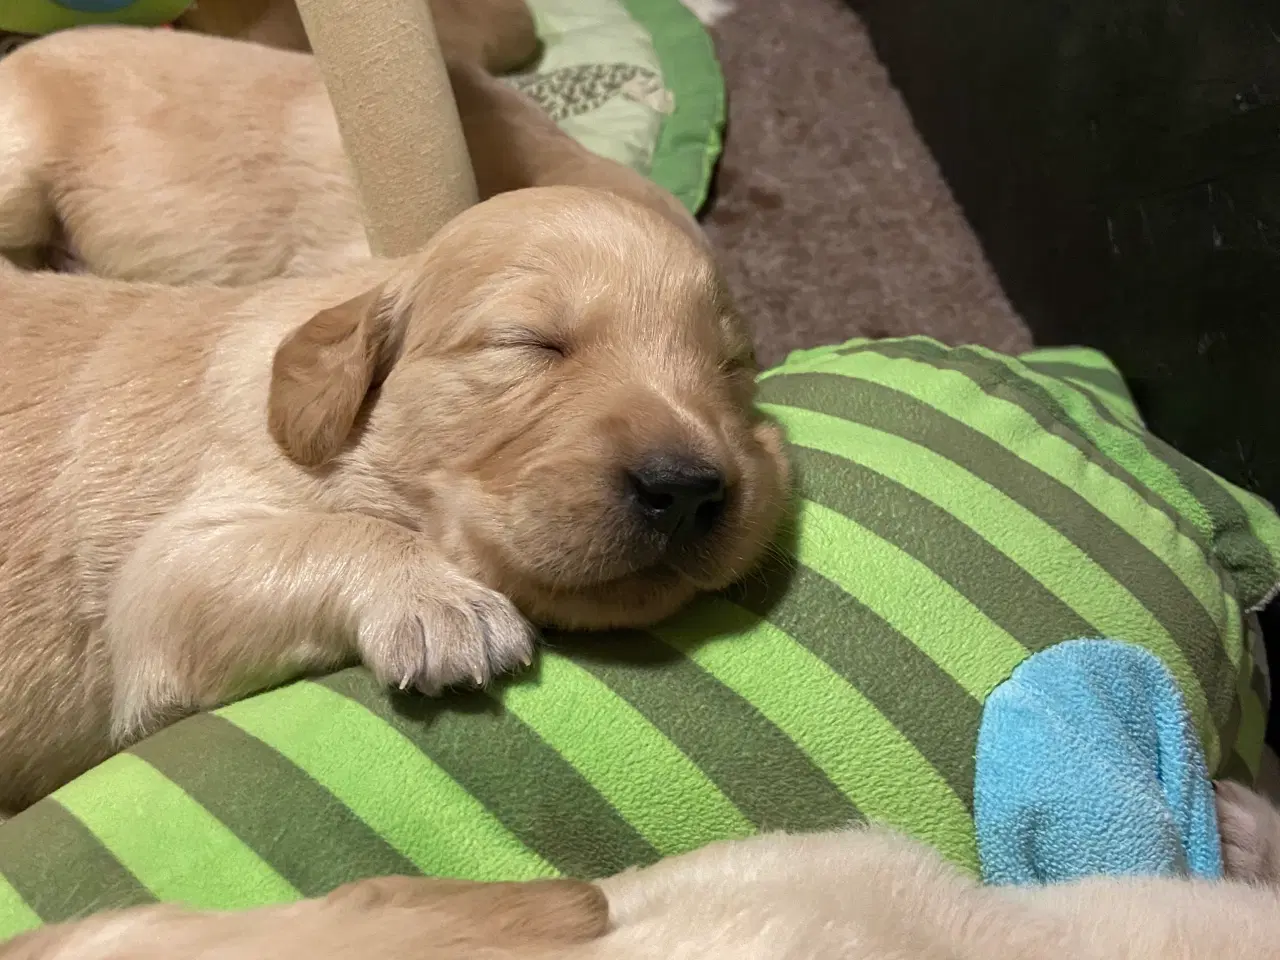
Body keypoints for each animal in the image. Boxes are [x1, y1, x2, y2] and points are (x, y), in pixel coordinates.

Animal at [0, 189, 788, 819]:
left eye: (732, 365)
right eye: (529, 344)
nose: (686, 489)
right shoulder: (166, 573)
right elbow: (328, 533)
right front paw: (443, 603)